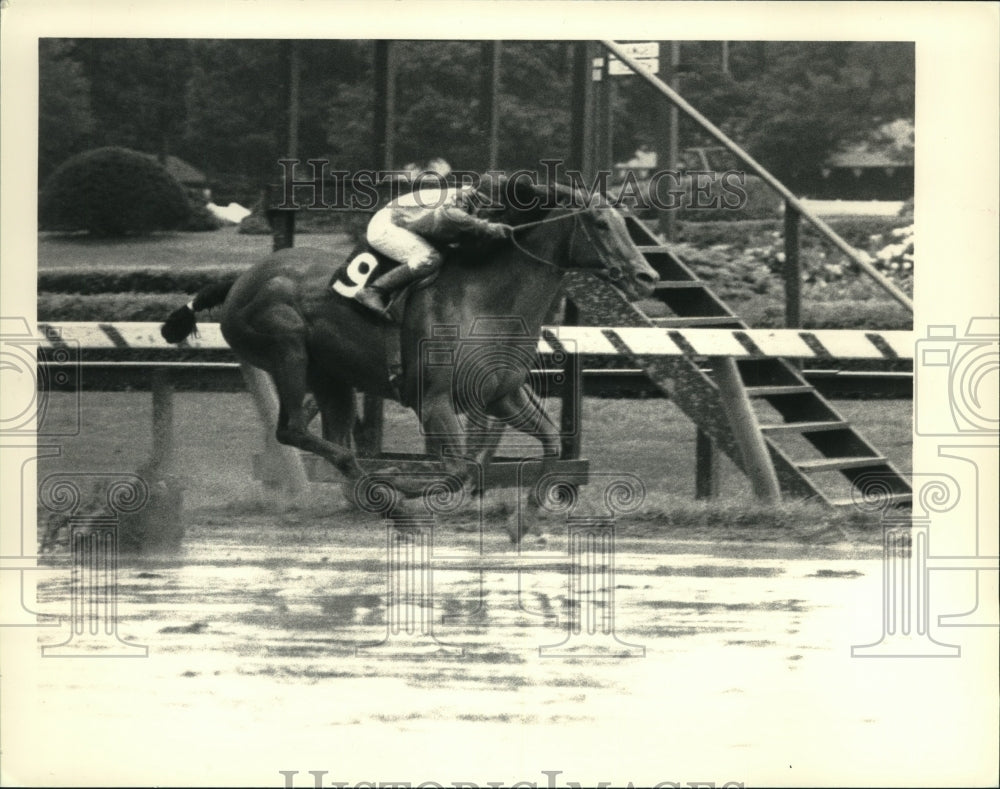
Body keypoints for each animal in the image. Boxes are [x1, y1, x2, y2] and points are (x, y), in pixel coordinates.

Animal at [160, 182, 660, 508]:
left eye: (625, 222)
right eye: (601, 223)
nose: (647, 276)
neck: (487, 299)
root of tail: (240, 280)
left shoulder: (503, 394)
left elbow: (550, 444)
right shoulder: (434, 400)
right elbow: (457, 469)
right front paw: (413, 486)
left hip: (332, 377)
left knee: (332, 435)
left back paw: (364, 490)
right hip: (287, 351)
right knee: (293, 430)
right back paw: (375, 483)